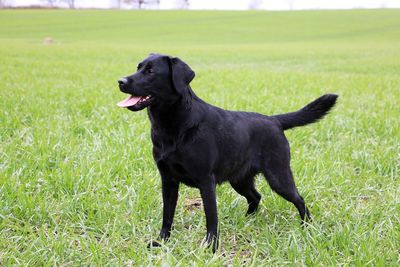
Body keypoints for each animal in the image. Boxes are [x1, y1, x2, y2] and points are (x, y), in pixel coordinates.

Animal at [116, 53, 338, 252]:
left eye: (151, 71)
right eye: (138, 67)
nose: (120, 81)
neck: (173, 124)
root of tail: (274, 120)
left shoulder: (206, 181)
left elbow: (211, 217)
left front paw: (211, 247)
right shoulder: (168, 180)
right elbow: (167, 215)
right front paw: (162, 241)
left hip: (279, 177)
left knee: (299, 199)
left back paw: (306, 226)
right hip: (239, 179)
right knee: (255, 197)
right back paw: (247, 220)